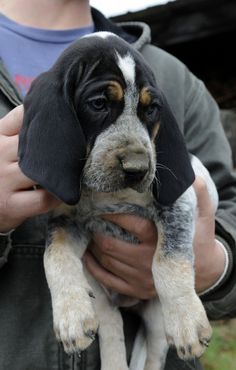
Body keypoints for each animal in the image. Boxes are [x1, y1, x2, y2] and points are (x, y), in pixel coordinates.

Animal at [18, 32, 218, 370]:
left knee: (154, 353)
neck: (105, 194)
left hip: (154, 319)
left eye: (151, 110)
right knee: (112, 334)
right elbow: (54, 258)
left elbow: (168, 260)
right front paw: (70, 315)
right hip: (102, 301)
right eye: (99, 104)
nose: (138, 169)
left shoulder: (179, 204)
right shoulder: (66, 221)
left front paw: (187, 320)